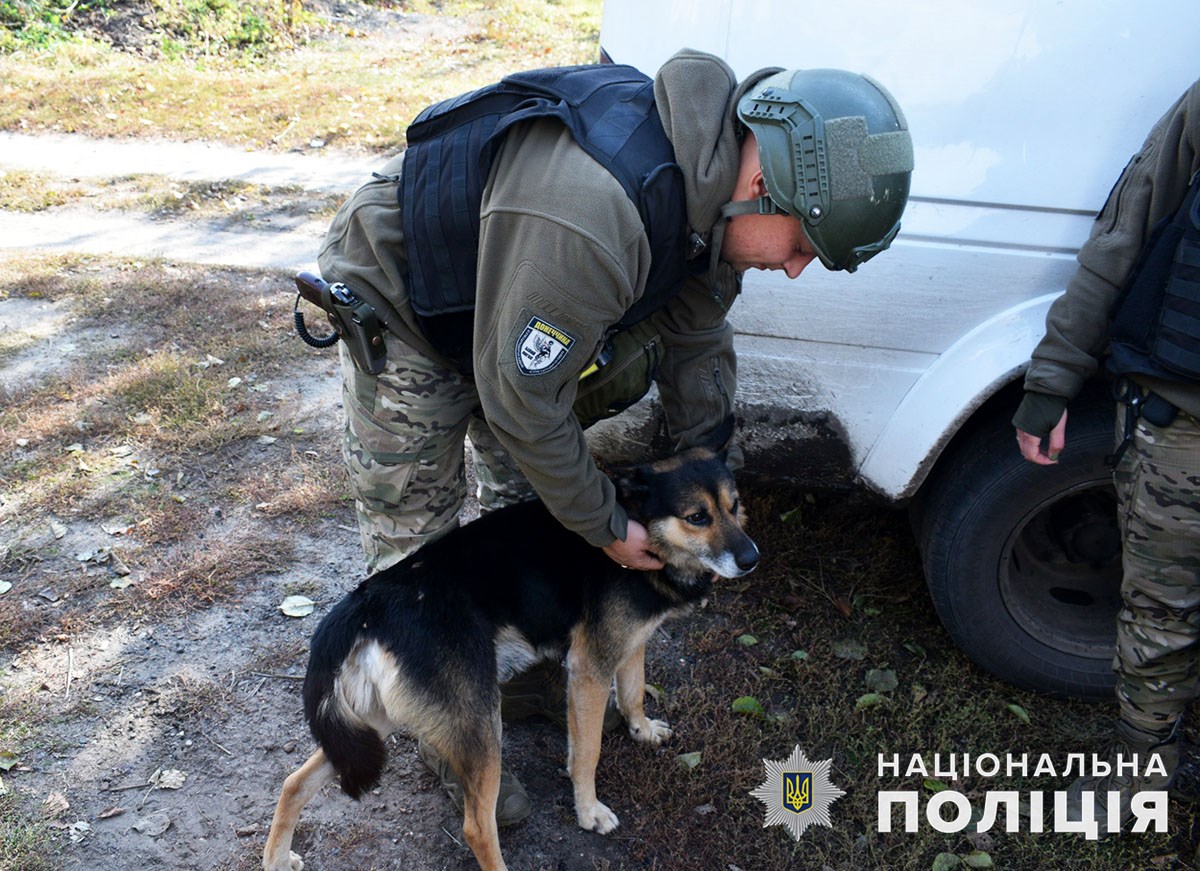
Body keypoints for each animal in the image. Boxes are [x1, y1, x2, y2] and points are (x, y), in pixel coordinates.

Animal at [264, 446, 758, 868]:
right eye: (697, 517)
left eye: (734, 506)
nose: (752, 558)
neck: (637, 521)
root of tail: (367, 603)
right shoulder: (590, 669)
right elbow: (587, 753)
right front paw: (589, 811)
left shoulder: (630, 641)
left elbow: (634, 690)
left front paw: (642, 730)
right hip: (480, 725)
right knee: (477, 827)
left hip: (374, 721)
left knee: (293, 783)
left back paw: (276, 859)